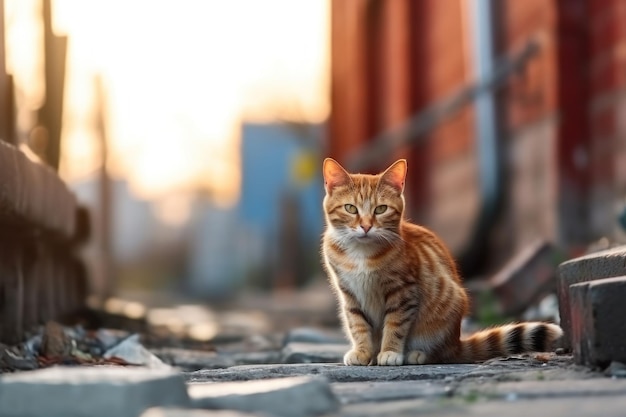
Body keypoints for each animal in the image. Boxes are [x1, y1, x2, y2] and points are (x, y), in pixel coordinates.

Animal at [322, 158, 560, 366]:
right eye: (350, 208)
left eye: (380, 209)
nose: (366, 226)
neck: (361, 254)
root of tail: (456, 343)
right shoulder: (349, 295)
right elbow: (358, 325)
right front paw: (363, 352)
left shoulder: (403, 292)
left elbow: (395, 324)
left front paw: (390, 352)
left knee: (439, 353)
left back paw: (417, 354)